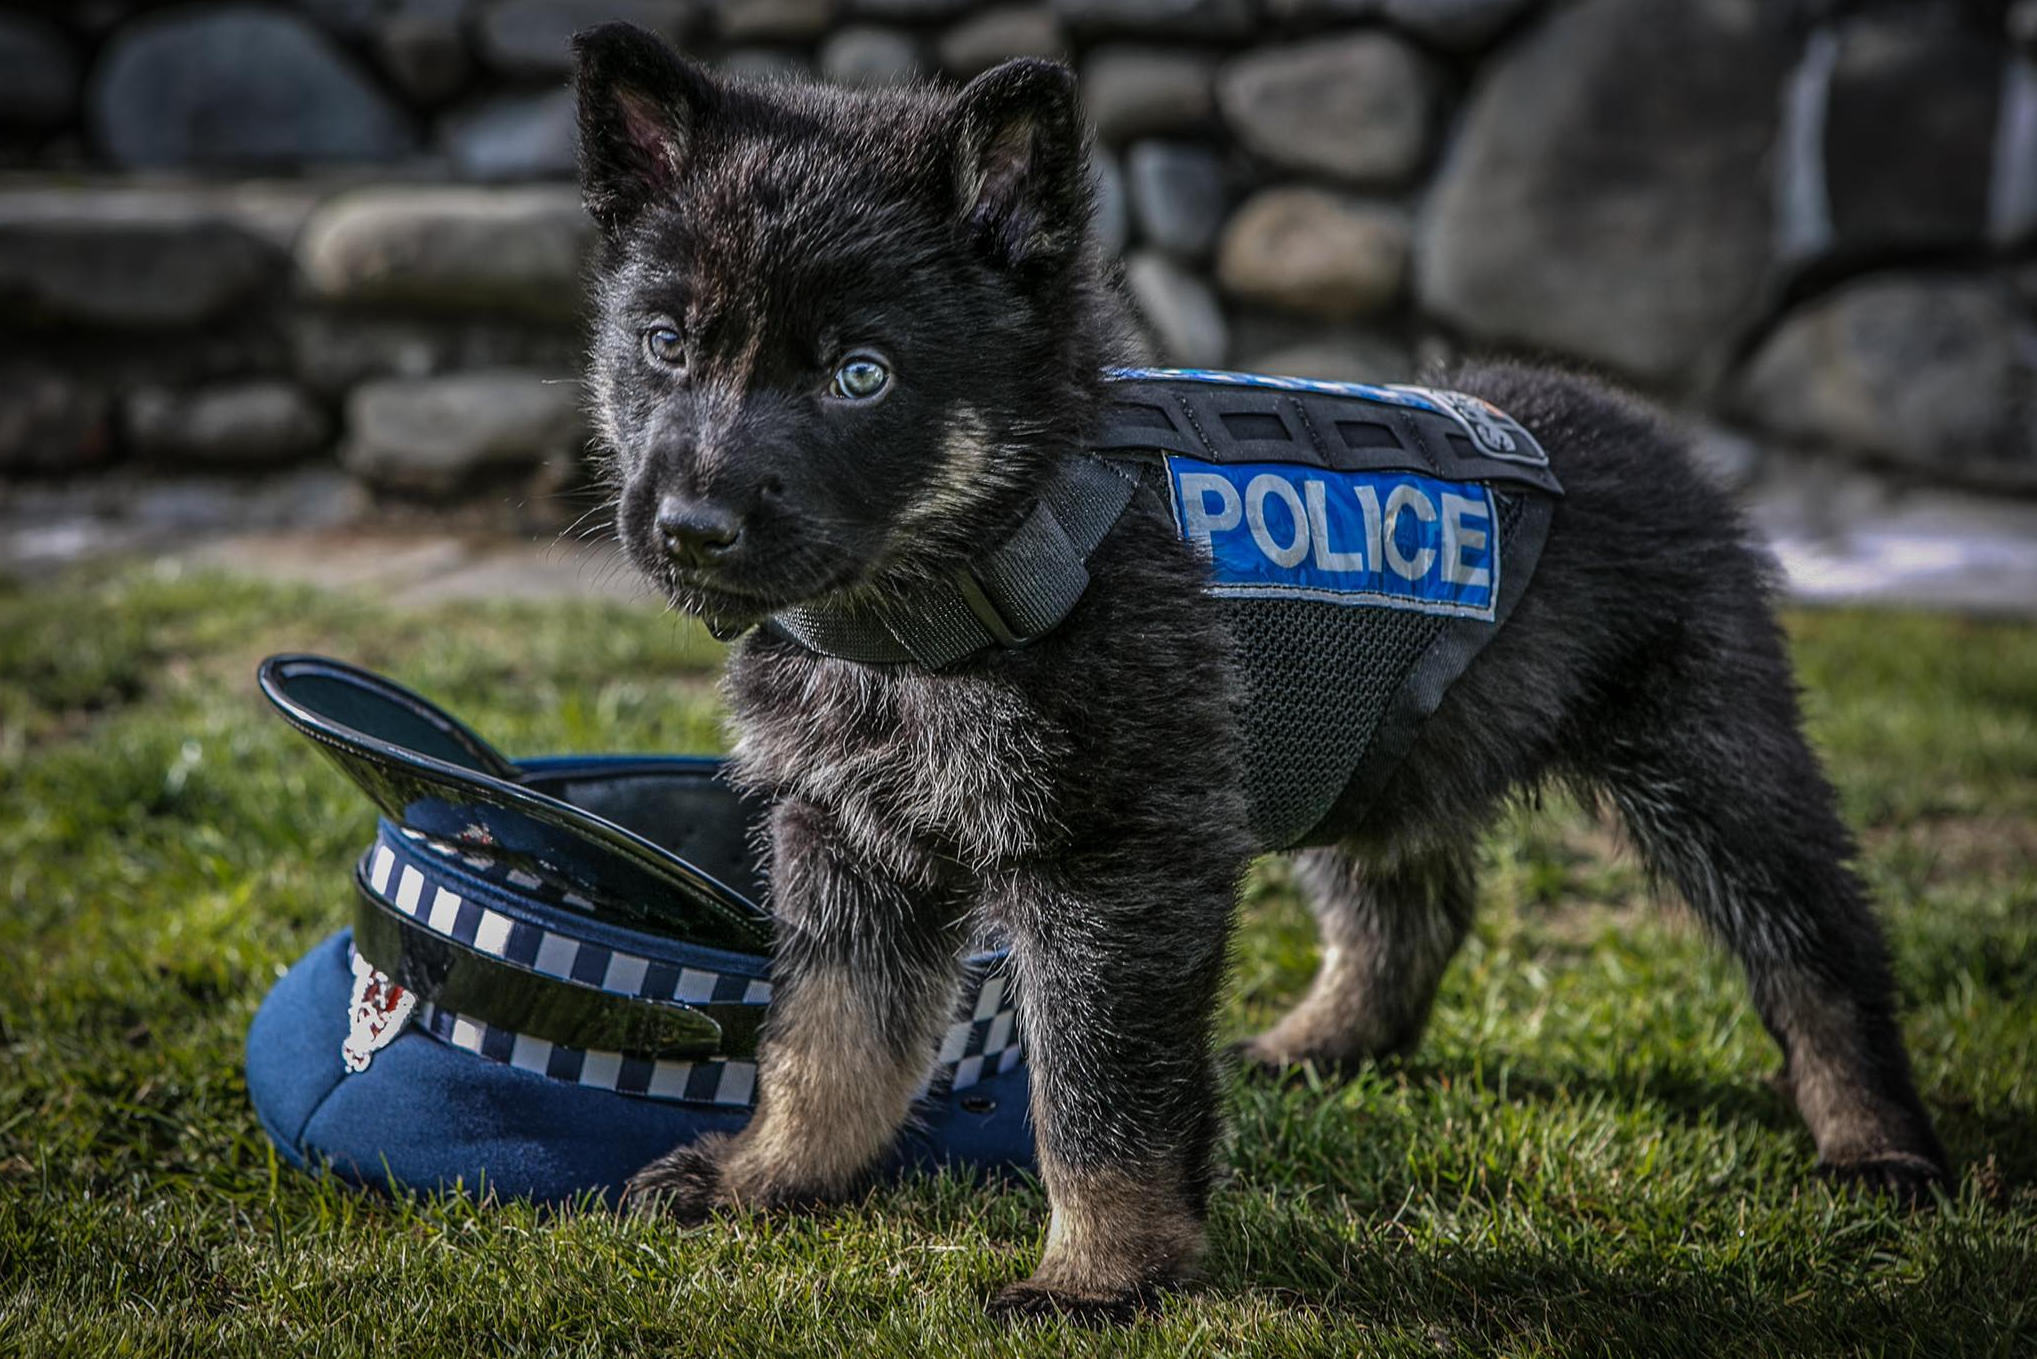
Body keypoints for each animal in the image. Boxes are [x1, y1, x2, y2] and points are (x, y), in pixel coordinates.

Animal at [570, 21, 1939, 1320]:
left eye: (862, 375)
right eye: (667, 345)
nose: (689, 528)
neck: (967, 568)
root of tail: (1649, 429)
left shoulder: (1115, 863)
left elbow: (1099, 1095)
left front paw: (1102, 1273)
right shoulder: (844, 839)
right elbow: (826, 1041)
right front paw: (767, 1177)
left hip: (1704, 756)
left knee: (1818, 942)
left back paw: (1876, 1141)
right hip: (1355, 744)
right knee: (1412, 907)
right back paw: (1325, 1041)